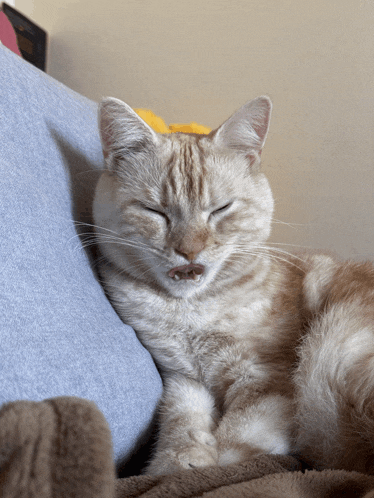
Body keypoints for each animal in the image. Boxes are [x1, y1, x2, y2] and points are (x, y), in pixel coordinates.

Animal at [92, 96, 374, 474]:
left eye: (220, 209)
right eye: (155, 211)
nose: (189, 250)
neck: (191, 313)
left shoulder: (266, 376)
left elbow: (237, 438)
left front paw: (212, 465)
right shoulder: (182, 378)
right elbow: (181, 420)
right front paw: (178, 462)